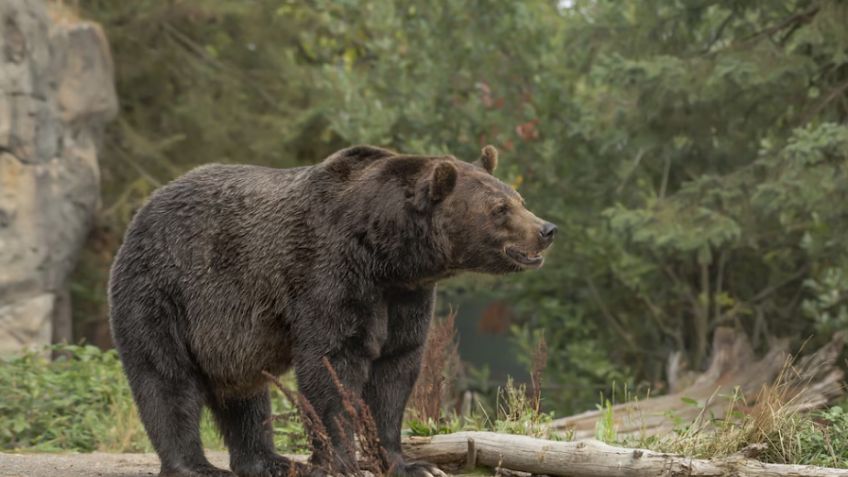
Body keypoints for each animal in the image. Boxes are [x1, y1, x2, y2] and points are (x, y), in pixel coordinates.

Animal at [109, 145, 556, 476]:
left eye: (519, 199)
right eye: (499, 209)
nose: (546, 230)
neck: (386, 254)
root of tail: (142, 210)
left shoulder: (405, 298)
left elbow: (395, 371)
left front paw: (409, 462)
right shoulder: (329, 274)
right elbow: (331, 364)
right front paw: (341, 459)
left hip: (227, 337)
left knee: (246, 396)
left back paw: (269, 460)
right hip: (165, 292)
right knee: (166, 380)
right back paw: (196, 465)